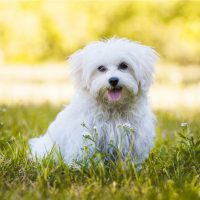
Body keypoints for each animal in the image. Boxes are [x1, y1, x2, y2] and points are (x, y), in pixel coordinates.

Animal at [28, 37, 157, 167]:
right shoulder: (84, 134)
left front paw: (130, 167)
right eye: (101, 68)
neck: (113, 108)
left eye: (124, 65)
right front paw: (80, 167)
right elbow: (82, 152)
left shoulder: (135, 136)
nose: (113, 80)